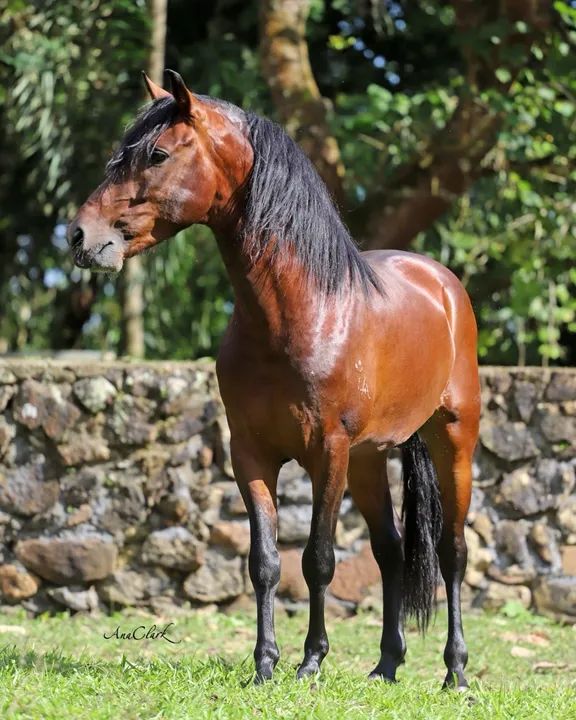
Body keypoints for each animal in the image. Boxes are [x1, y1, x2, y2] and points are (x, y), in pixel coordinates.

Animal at [68, 70, 480, 690]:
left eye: (157, 154)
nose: (80, 236)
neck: (297, 314)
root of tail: (443, 284)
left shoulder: (328, 453)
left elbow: (317, 559)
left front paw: (311, 662)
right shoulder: (252, 454)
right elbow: (263, 563)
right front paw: (264, 664)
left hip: (451, 441)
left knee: (452, 552)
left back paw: (454, 670)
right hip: (369, 460)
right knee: (390, 550)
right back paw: (386, 664)